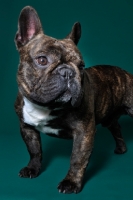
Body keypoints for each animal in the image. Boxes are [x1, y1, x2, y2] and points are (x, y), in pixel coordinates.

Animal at [14, 6, 133, 194]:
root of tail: (125, 73)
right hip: (109, 118)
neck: (47, 107)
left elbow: (77, 159)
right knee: (116, 127)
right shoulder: (26, 127)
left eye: (81, 66)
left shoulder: (84, 133)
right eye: (42, 60)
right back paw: (121, 148)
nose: (68, 72)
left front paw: (71, 183)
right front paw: (33, 168)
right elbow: (34, 150)